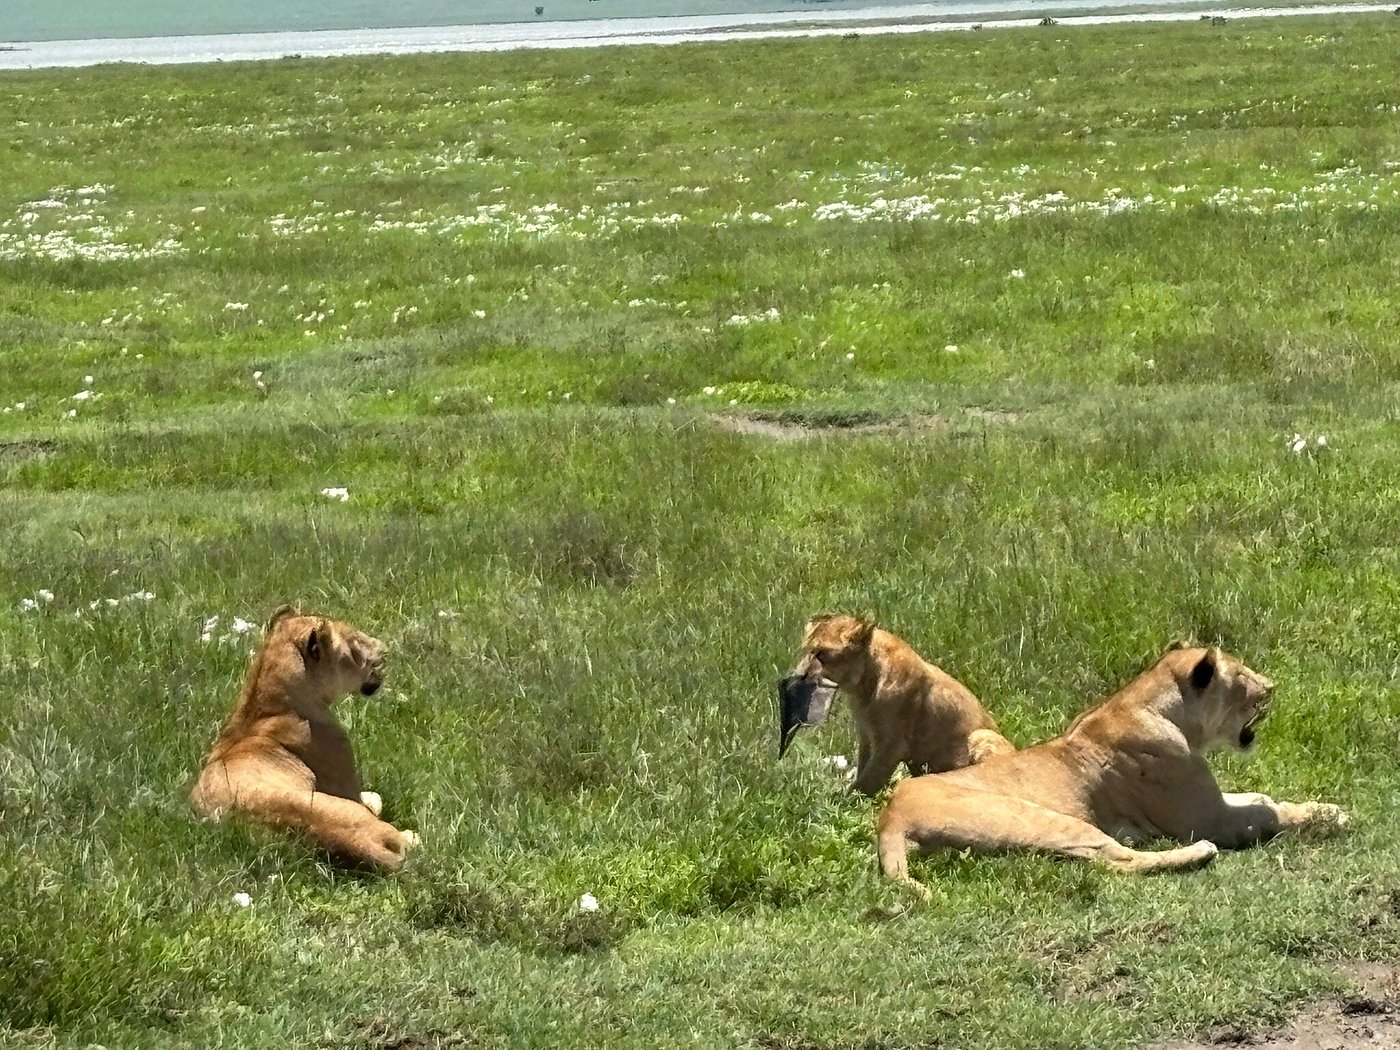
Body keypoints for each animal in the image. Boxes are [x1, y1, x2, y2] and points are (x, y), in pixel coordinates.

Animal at [778, 614, 1014, 795]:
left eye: (821, 653)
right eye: (805, 650)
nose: (798, 674)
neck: (862, 688)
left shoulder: (892, 743)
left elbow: (870, 777)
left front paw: (848, 800)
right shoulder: (867, 735)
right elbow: (864, 766)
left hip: (981, 735)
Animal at [875, 645, 1349, 896]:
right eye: (1243, 676)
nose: (1271, 686)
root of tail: (890, 817)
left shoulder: (1214, 800)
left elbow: (1262, 798)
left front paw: (1320, 808)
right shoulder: (1208, 817)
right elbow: (1266, 812)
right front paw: (1332, 815)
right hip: (1043, 820)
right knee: (1117, 861)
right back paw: (1198, 853)